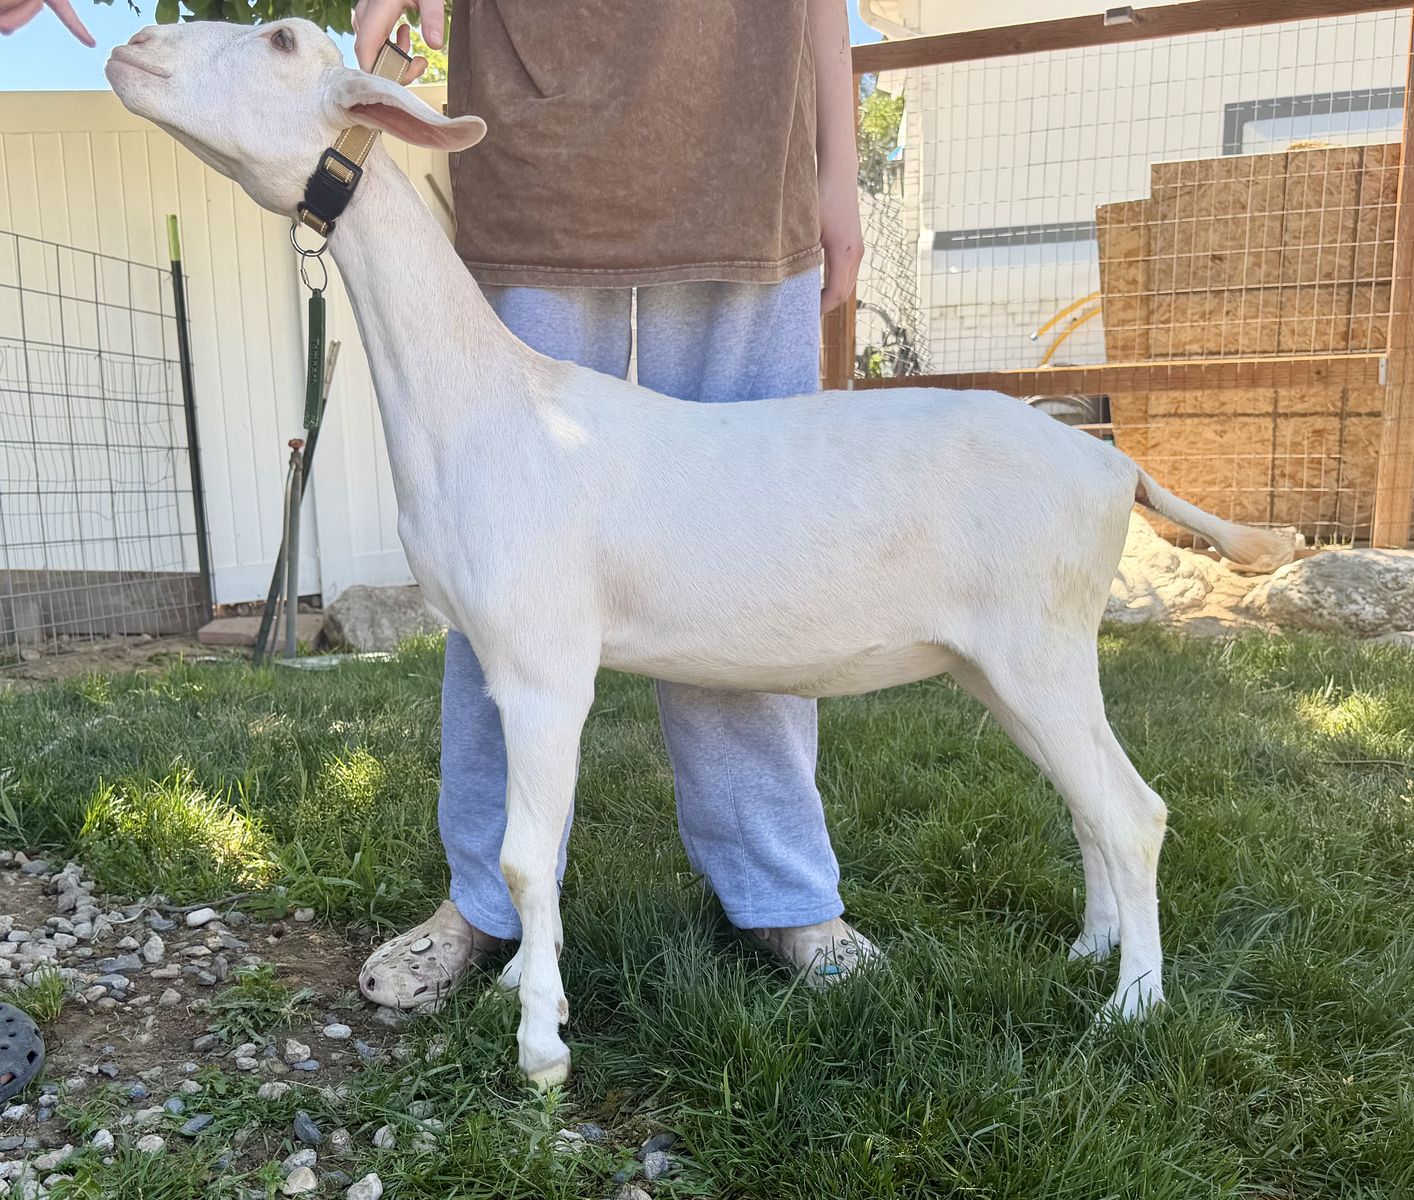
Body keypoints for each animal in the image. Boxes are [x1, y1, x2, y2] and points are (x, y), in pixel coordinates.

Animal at [108, 19, 1296, 1087]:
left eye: (281, 41)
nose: (130, 52)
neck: (490, 404)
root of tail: (1108, 466)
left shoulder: (545, 662)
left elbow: (527, 855)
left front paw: (542, 1050)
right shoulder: (501, 659)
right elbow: (531, 845)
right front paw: (518, 984)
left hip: (1039, 645)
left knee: (1134, 813)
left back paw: (1131, 1009)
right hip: (1002, 664)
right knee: (1085, 803)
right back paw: (1091, 949)